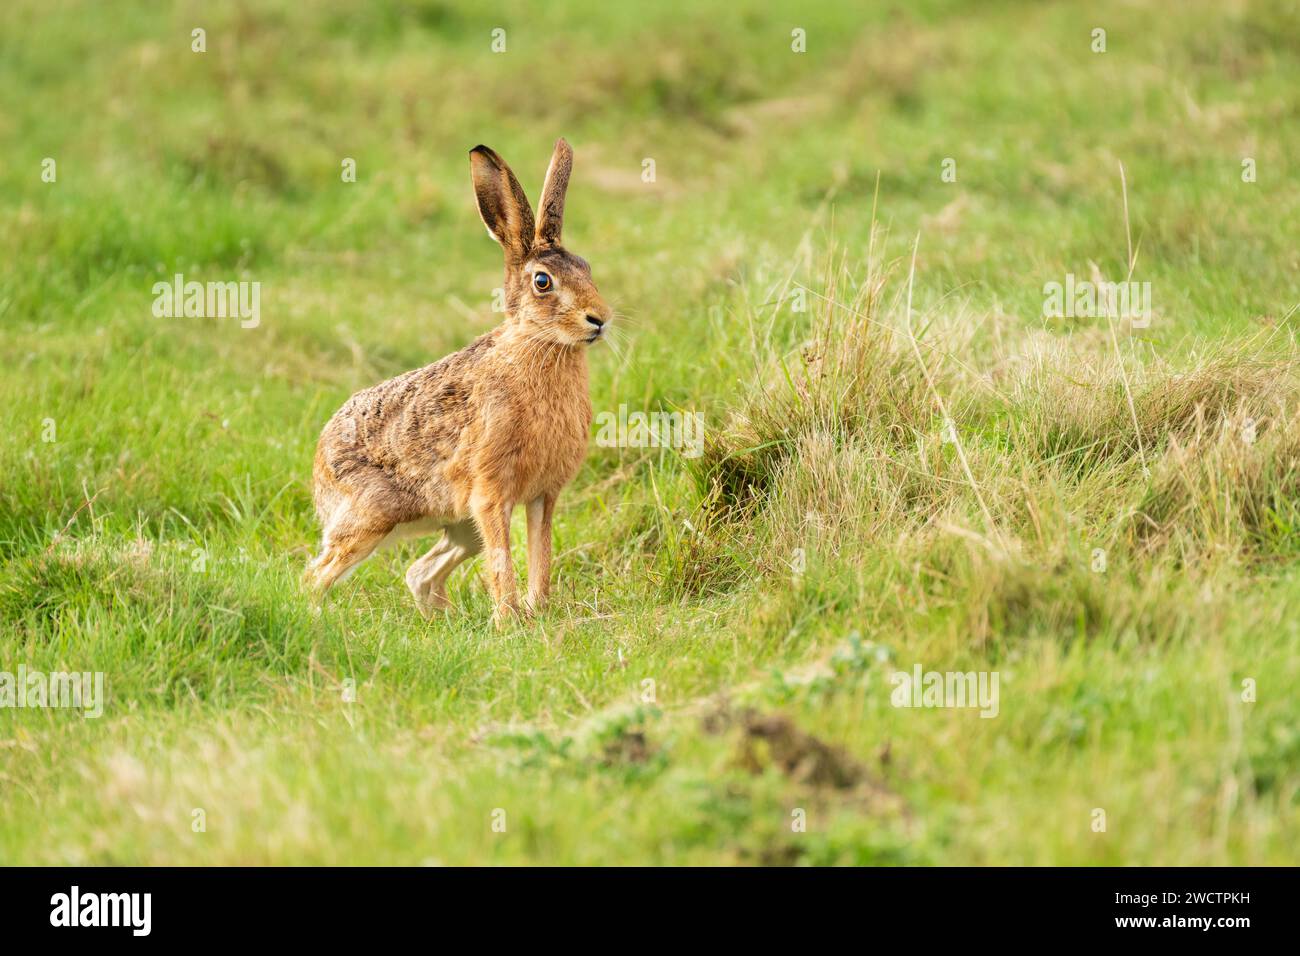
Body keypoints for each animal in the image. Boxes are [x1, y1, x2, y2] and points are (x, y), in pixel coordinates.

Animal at [304, 138, 611, 626]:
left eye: (587, 267)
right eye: (543, 282)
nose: (599, 319)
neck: (536, 344)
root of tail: (319, 467)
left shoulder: (542, 495)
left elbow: (540, 557)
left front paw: (536, 612)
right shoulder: (490, 494)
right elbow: (503, 562)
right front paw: (510, 623)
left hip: (460, 527)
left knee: (418, 572)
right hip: (372, 518)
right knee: (315, 576)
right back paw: (315, 620)